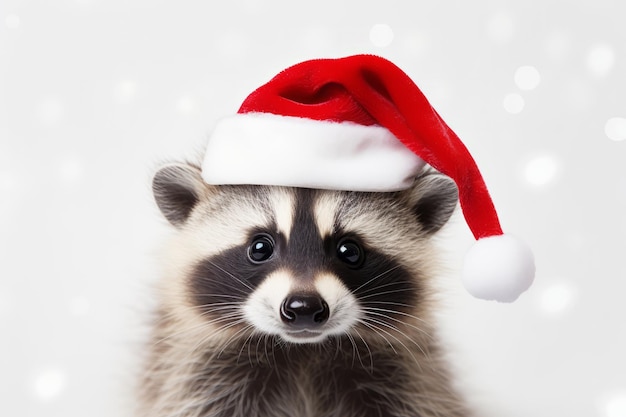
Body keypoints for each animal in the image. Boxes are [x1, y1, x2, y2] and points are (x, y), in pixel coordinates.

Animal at [139, 161, 470, 414]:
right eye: (260, 248)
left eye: (349, 251)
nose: (304, 307)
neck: (305, 351)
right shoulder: (196, 371)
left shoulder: (408, 377)